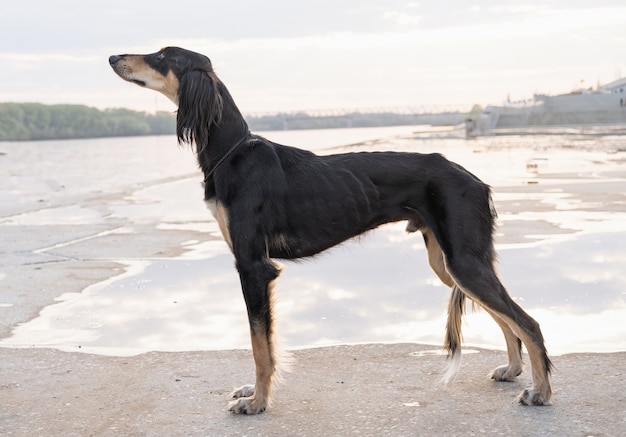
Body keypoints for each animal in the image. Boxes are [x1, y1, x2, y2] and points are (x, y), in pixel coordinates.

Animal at [108, 46, 552, 412]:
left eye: (163, 56)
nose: (113, 57)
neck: (231, 151)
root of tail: (476, 180)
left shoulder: (253, 266)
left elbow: (259, 346)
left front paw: (258, 402)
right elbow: (262, 343)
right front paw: (255, 393)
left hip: (462, 261)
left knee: (527, 321)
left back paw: (541, 391)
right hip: (449, 263)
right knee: (506, 316)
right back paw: (514, 370)